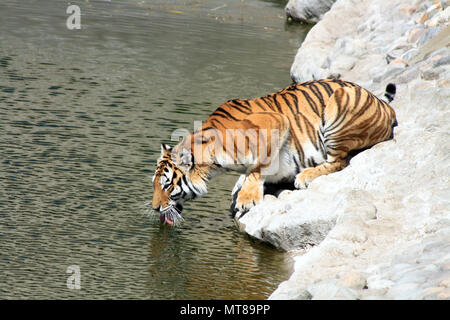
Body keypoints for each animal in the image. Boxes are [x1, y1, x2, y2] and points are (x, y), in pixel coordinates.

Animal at [152, 78, 398, 225]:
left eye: (167, 185)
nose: (155, 208)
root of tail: (384, 105)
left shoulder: (274, 122)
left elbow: (258, 165)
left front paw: (246, 198)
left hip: (339, 109)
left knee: (339, 161)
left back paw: (305, 176)